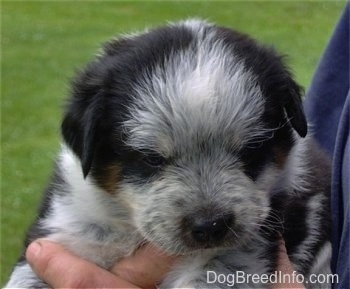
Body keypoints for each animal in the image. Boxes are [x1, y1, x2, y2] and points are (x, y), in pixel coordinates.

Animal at [5, 20, 330, 288]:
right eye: (151, 158)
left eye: (250, 149)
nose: (210, 226)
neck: (132, 228)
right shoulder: (67, 231)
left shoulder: (248, 243)